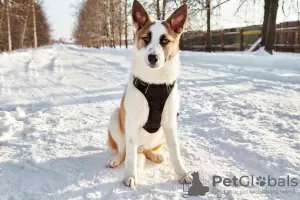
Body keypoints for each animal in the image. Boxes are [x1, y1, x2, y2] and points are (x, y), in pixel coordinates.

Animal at [108, 0, 192, 188]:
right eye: (146, 39)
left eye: (165, 41)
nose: (153, 58)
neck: (155, 82)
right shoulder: (131, 123)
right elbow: (130, 156)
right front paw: (130, 176)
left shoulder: (170, 124)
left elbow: (175, 151)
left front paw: (182, 173)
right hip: (116, 117)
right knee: (124, 150)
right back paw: (117, 159)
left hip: (161, 134)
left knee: (146, 150)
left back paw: (155, 155)